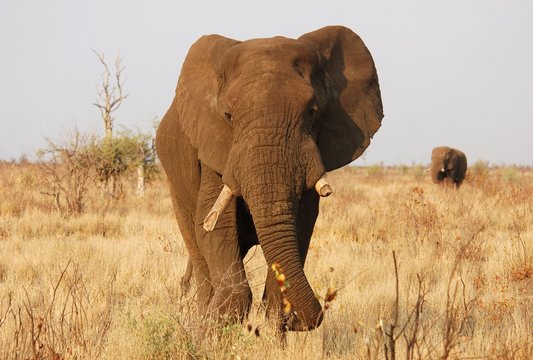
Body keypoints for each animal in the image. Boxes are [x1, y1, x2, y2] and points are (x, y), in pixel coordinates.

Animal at [154, 26, 382, 332]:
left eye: (312, 111)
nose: (300, 321)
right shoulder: (214, 147)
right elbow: (212, 228)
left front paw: (277, 322)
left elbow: (301, 227)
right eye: (228, 115)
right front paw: (217, 323)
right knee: (197, 247)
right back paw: (202, 316)